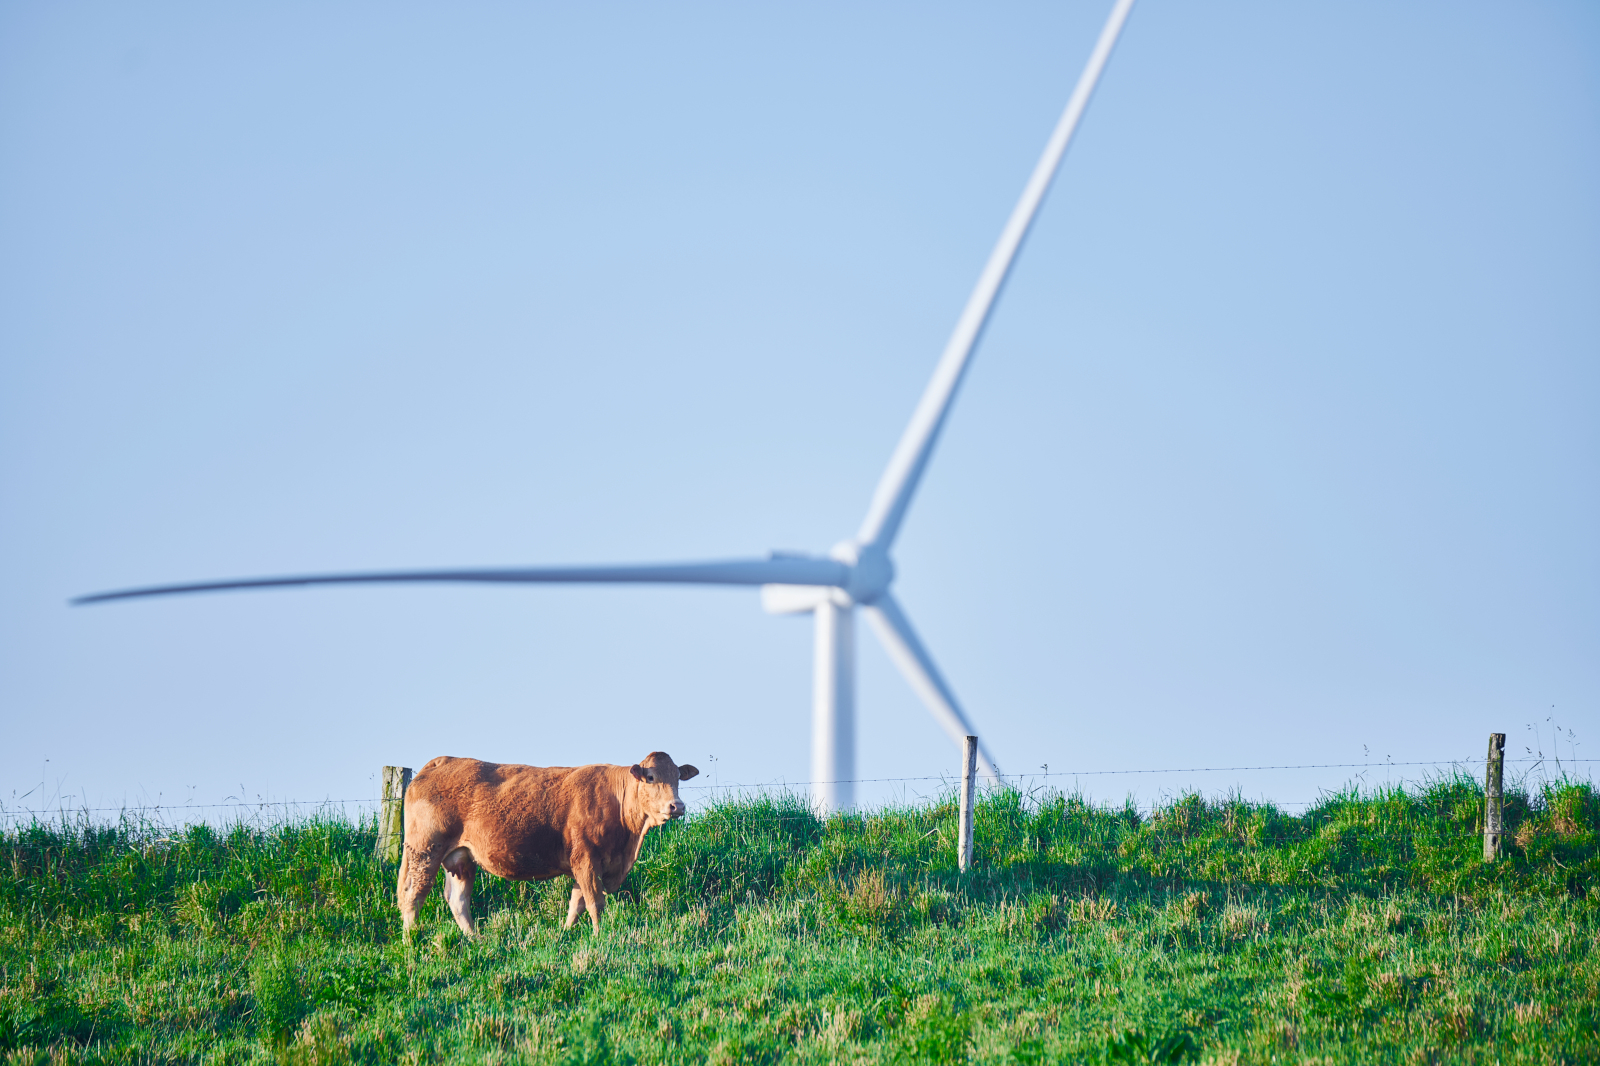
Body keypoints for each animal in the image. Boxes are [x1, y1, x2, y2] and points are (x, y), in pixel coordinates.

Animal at [396, 751, 699, 937]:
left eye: (677, 777)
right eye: (651, 778)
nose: (677, 806)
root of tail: (440, 761)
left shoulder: (584, 865)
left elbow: (576, 903)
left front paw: (565, 934)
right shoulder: (586, 859)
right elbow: (595, 902)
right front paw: (600, 935)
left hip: (460, 858)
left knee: (458, 900)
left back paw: (477, 940)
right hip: (424, 850)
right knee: (413, 895)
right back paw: (411, 940)